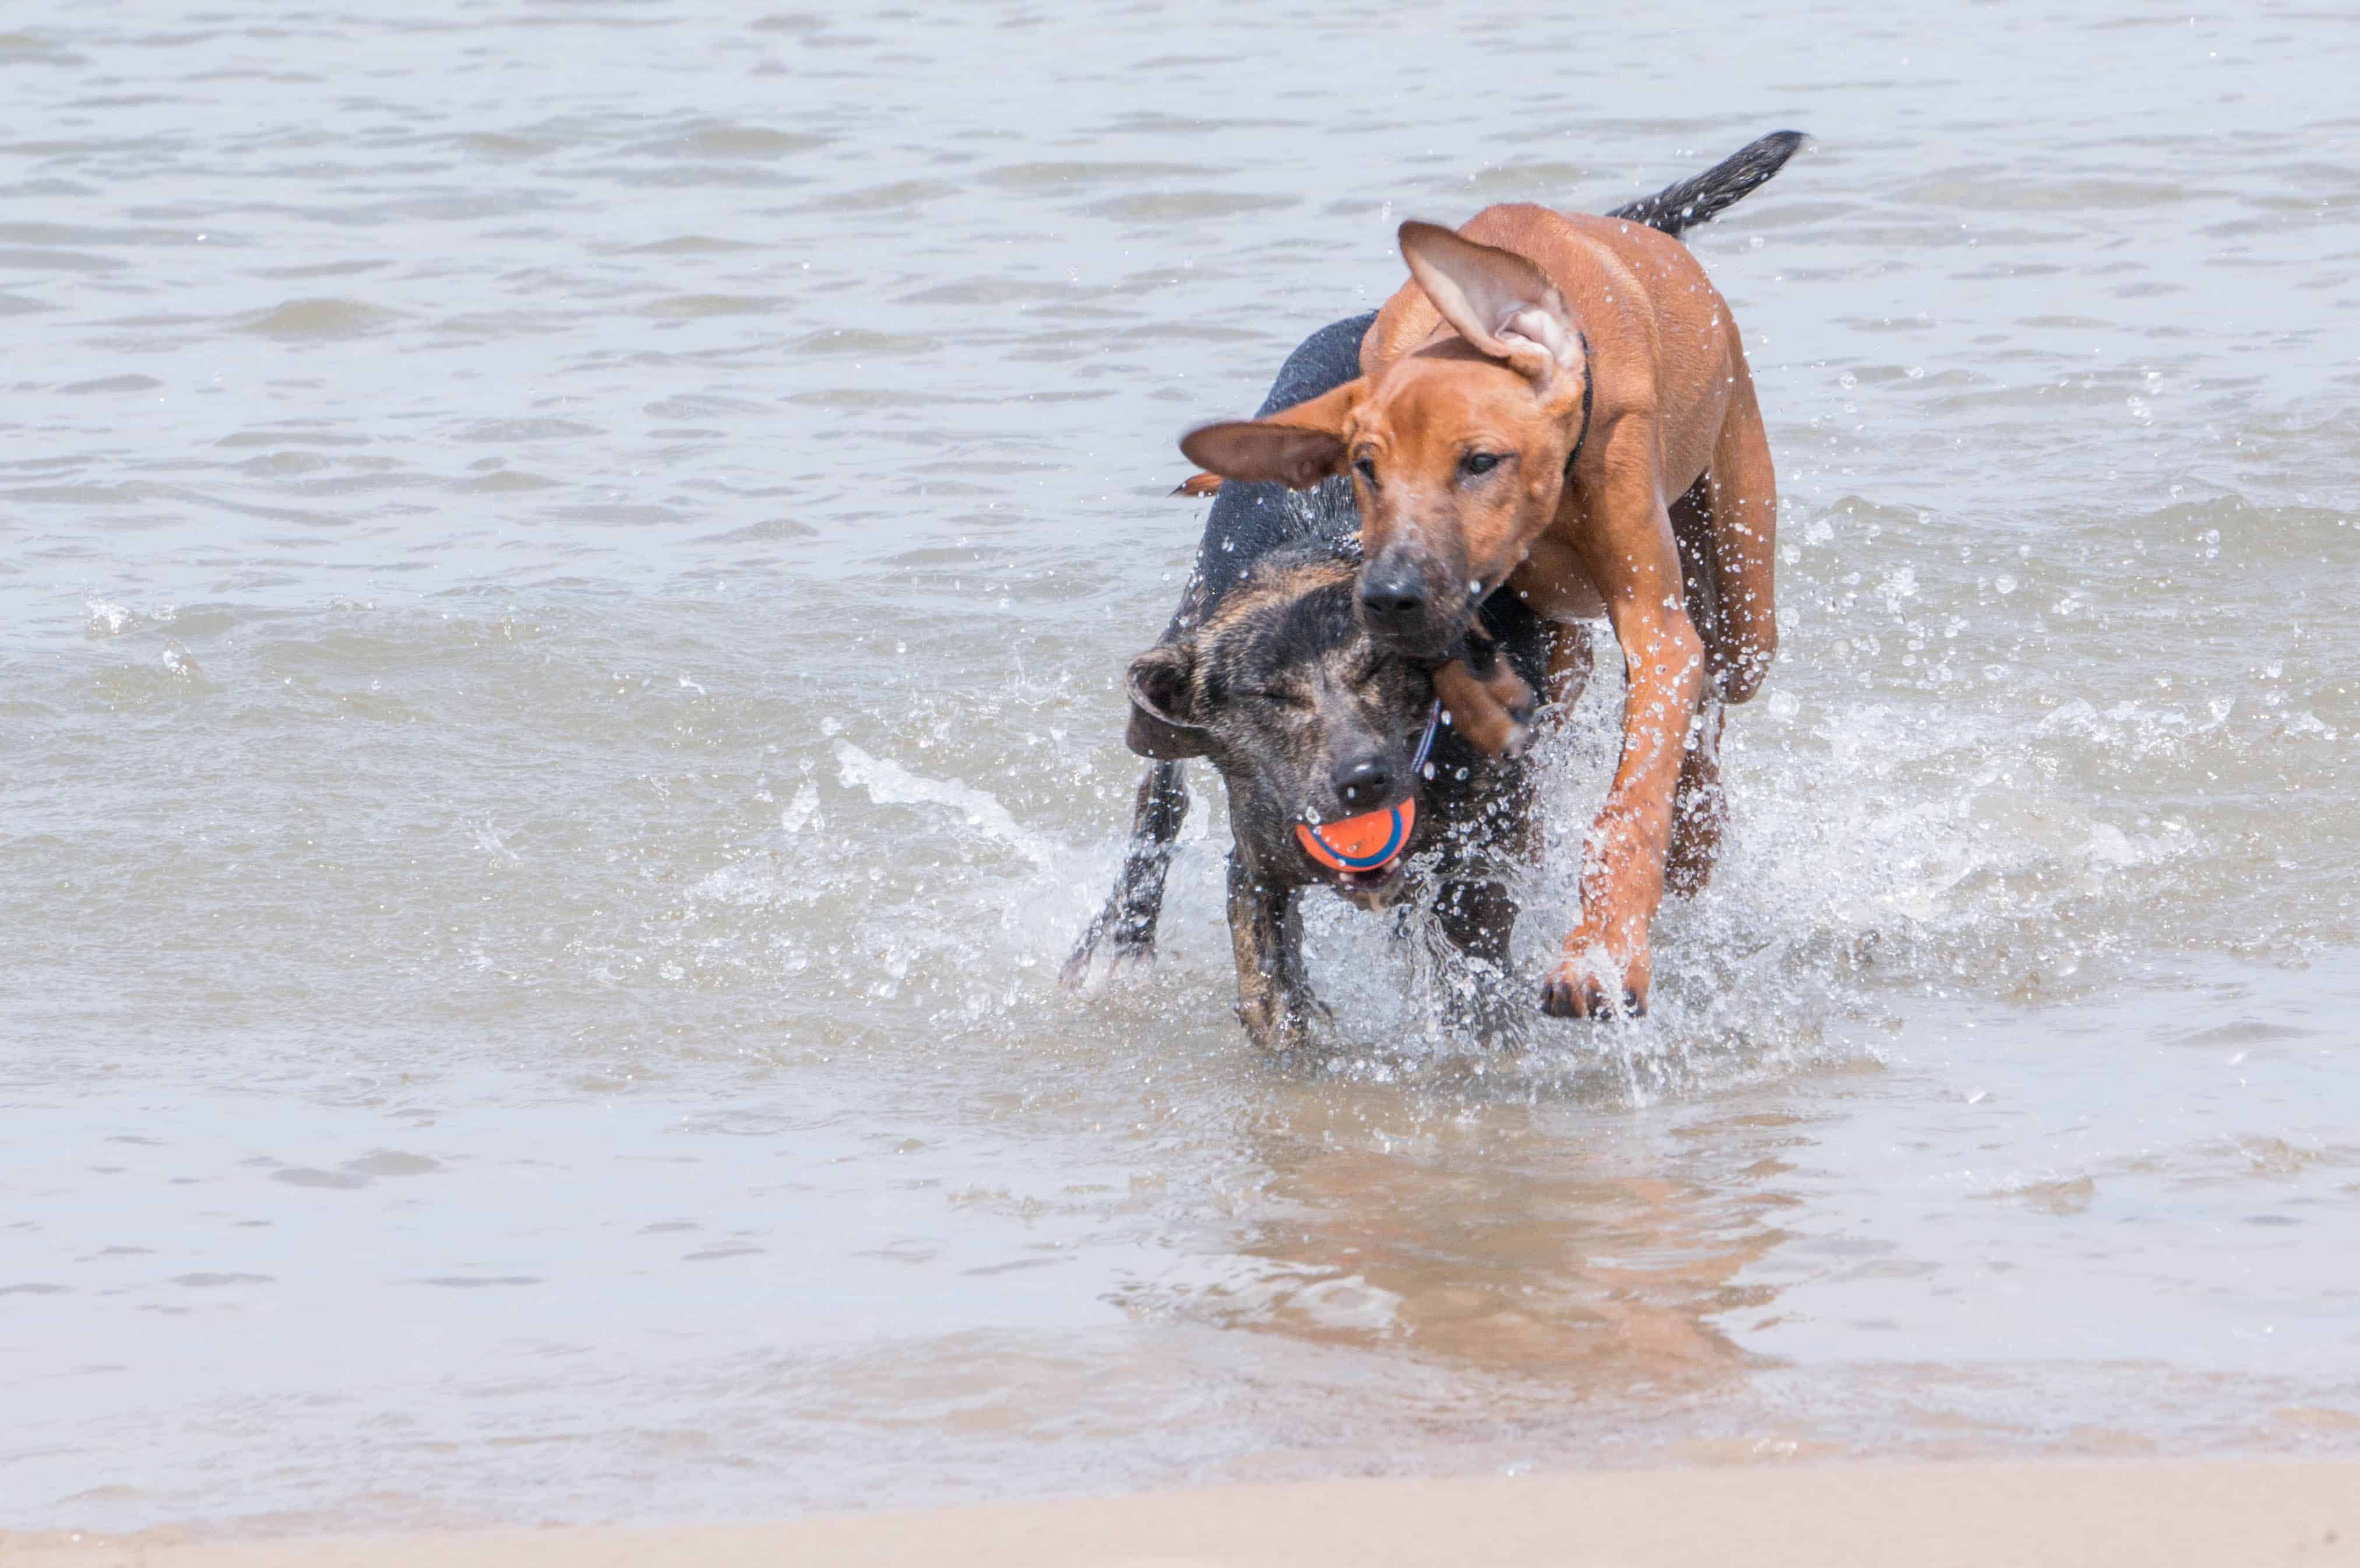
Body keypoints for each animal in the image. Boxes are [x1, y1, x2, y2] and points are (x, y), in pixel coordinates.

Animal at [1071, 131, 1803, 1039]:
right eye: (1365, 469)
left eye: (1481, 461)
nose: (1388, 594)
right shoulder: (1266, 858)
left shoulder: (1650, 622)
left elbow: (1631, 793)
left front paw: (1601, 951)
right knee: (1160, 790)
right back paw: (1116, 943)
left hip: (1737, 592)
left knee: (1710, 695)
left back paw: (1693, 837)